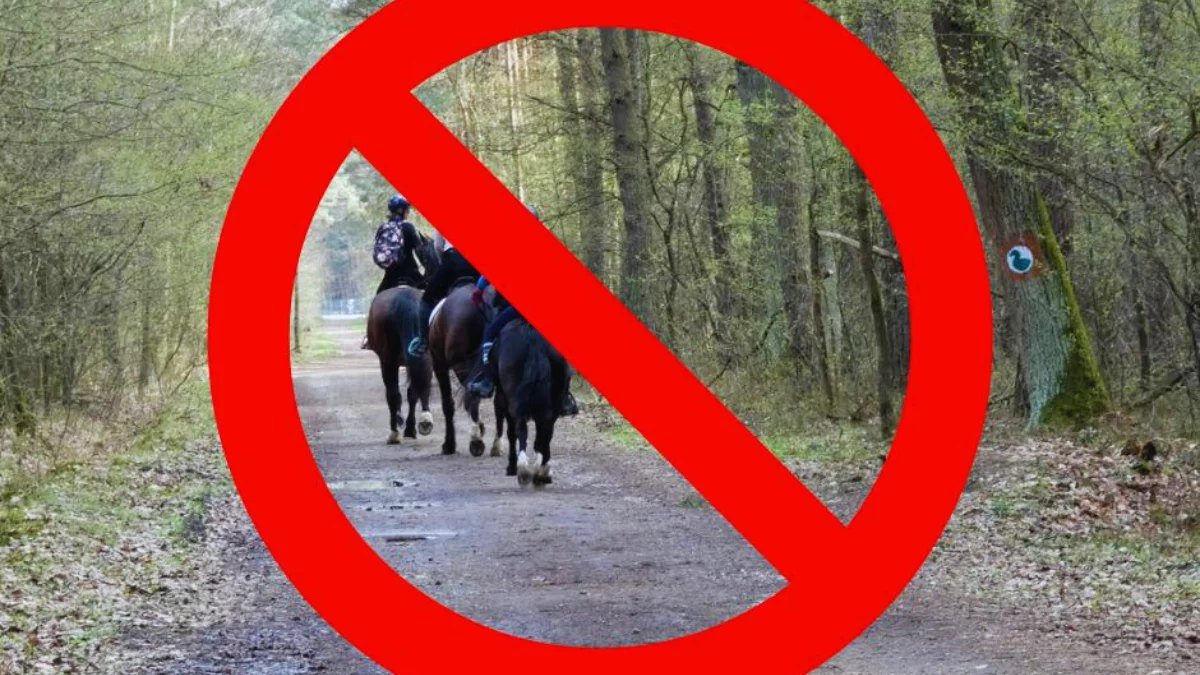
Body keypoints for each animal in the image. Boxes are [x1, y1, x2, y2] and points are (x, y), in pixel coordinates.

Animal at [366, 285, 434, 445]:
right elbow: (412, 393)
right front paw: (410, 429)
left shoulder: (387, 362)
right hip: (425, 355)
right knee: (421, 384)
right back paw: (425, 420)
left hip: (388, 361)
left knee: (393, 394)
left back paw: (394, 432)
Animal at [492, 319, 574, 487]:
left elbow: (512, 433)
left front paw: (511, 467)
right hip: (551, 403)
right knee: (544, 431)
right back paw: (540, 471)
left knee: (522, 429)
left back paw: (525, 469)